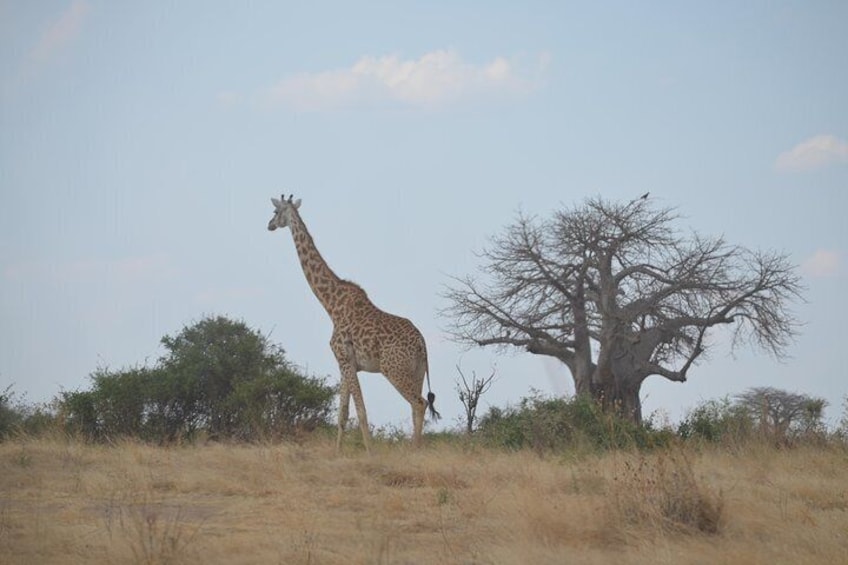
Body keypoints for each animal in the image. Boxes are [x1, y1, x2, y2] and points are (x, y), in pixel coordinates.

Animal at [266, 194, 440, 450]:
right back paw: (417, 448)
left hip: (392, 368)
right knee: (415, 406)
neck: (331, 305)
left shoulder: (344, 358)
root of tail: (422, 343)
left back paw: (413, 450)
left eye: (276, 211)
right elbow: (343, 413)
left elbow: (360, 411)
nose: (269, 225)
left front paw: (370, 452)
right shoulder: (345, 363)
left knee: (419, 403)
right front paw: (337, 452)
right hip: (416, 371)